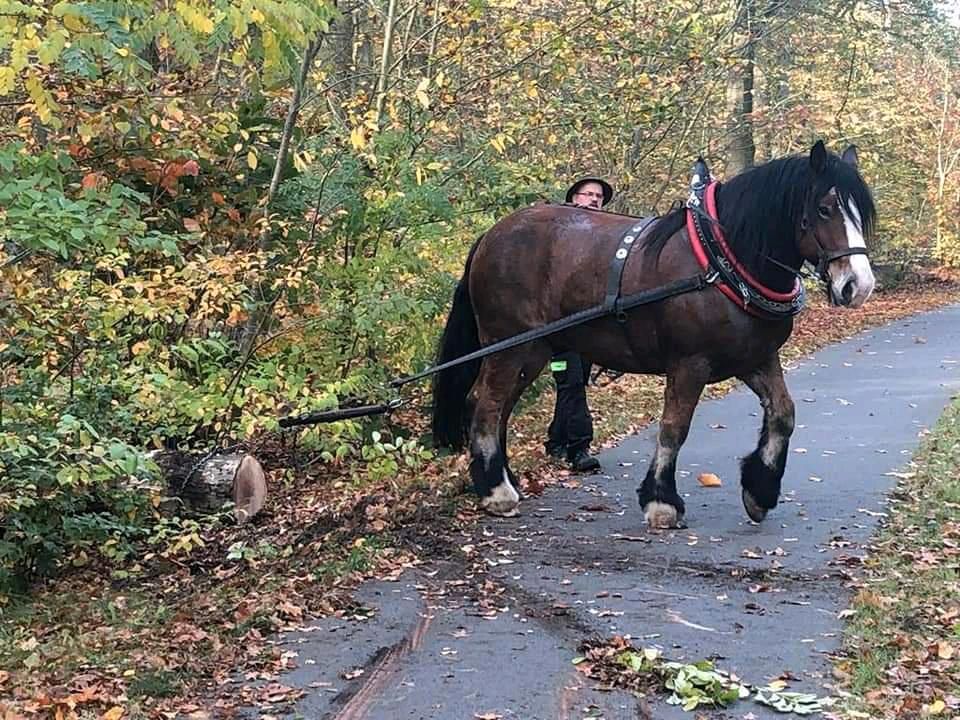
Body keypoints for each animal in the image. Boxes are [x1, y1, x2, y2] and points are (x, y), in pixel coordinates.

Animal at [432, 141, 872, 524]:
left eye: (861, 213)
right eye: (824, 209)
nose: (859, 284)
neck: (721, 263)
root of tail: (491, 236)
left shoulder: (756, 358)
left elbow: (783, 415)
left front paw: (759, 492)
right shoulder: (689, 364)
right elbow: (674, 429)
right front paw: (662, 501)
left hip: (534, 349)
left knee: (499, 407)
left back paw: (500, 480)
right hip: (509, 345)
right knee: (487, 405)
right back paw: (496, 492)